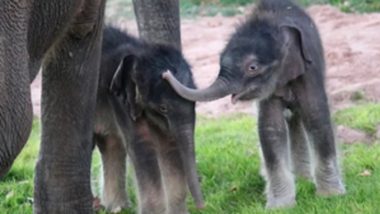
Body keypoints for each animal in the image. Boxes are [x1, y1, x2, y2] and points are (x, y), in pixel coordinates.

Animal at [93, 26, 203, 214]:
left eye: (194, 102)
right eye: (163, 108)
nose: (203, 206)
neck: (140, 52)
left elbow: (168, 146)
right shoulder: (121, 101)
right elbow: (142, 146)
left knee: (110, 143)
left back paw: (117, 208)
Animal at [162, 0, 346, 209]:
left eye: (252, 68)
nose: (165, 74)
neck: (274, 26)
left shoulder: (309, 71)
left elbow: (316, 117)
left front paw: (331, 196)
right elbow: (270, 128)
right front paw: (280, 206)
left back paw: (304, 179)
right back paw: (299, 179)